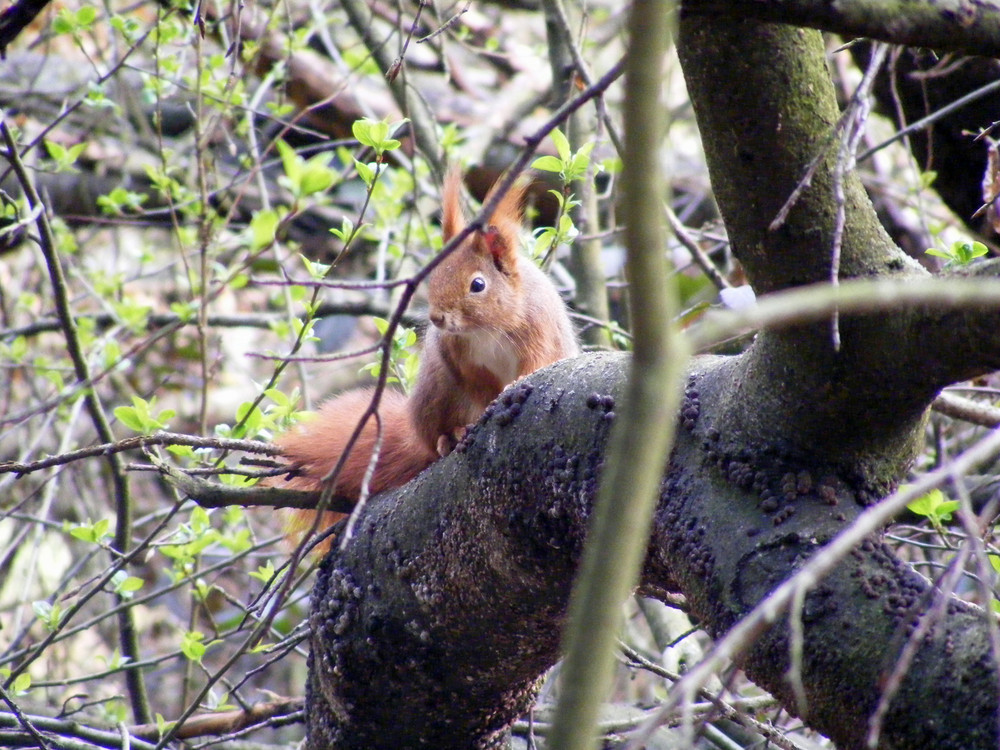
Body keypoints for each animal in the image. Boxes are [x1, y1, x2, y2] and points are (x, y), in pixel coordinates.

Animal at [272, 171, 580, 536]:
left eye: (478, 285)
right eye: (435, 276)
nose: (437, 318)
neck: (486, 327)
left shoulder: (538, 330)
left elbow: (534, 365)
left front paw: (512, 387)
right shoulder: (456, 354)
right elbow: (476, 384)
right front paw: (482, 409)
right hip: (435, 395)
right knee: (435, 438)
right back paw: (450, 438)